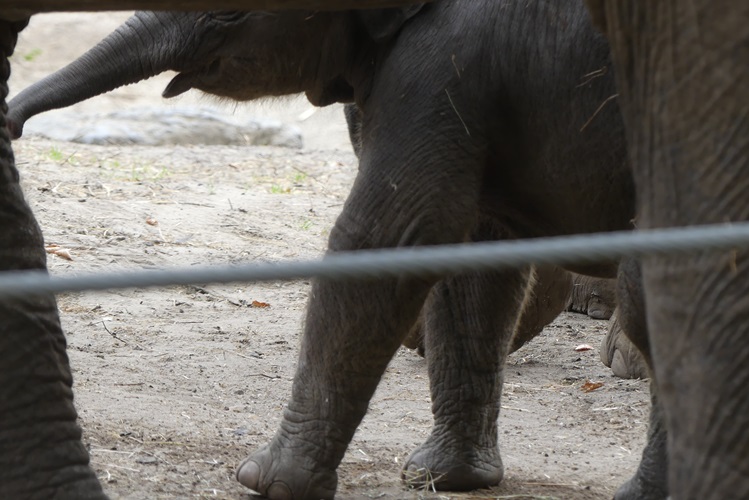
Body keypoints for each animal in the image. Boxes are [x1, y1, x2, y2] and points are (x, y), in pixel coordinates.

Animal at [4, 1, 636, 498]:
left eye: (229, 12)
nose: (10, 120)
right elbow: (471, 259)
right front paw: (442, 479)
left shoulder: (440, 69)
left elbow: (386, 235)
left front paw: (265, 481)